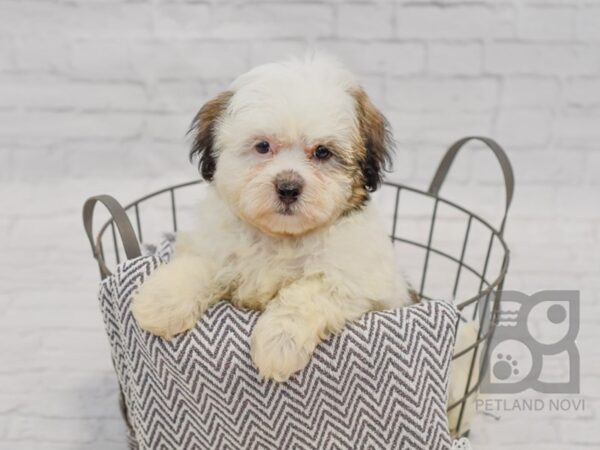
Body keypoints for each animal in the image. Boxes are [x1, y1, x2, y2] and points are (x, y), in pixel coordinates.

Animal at [132, 54, 414, 382]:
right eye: (263, 146)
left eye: (322, 152)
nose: (288, 187)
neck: (281, 238)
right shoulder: (214, 243)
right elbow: (199, 264)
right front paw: (161, 301)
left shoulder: (357, 281)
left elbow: (311, 291)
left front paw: (279, 343)